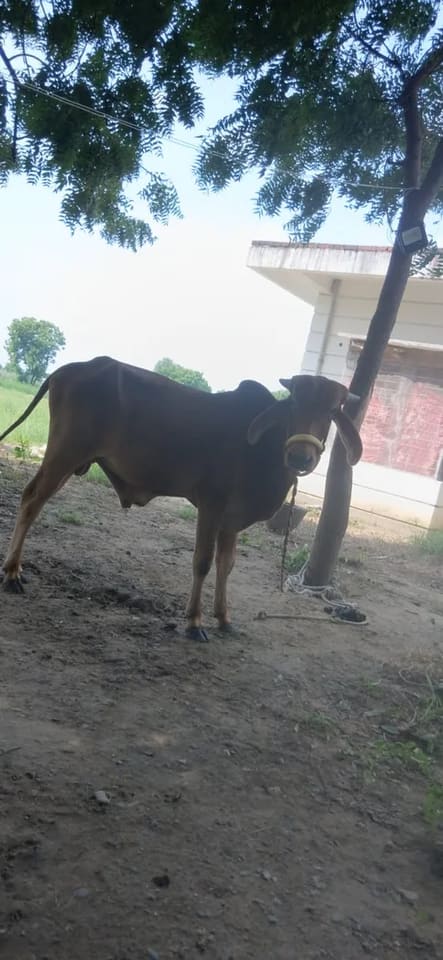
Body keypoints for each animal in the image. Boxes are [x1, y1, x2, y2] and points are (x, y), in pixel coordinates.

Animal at [0, 357, 362, 640]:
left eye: (333, 410)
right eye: (294, 405)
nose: (301, 457)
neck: (264, 449)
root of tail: (71, 368)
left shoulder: (232, 521)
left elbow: (226, 565)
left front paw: (224, 618)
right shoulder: (211, 504)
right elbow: (202, 562)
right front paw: (194, 622)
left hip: (70, 461)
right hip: (64, 454)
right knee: (31, 501)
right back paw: (12, 574)